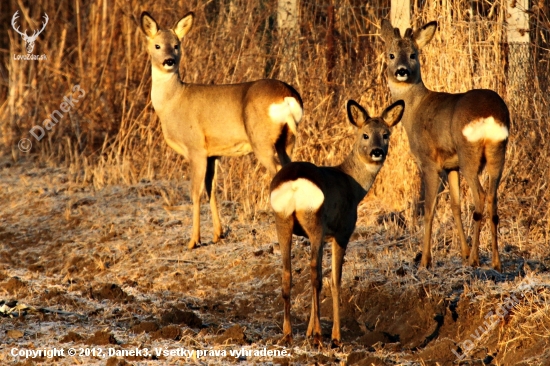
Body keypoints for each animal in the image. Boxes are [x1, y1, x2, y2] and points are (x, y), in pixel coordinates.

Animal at [140, 12, 304, 250]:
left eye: (177, 45)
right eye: (157, 45)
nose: (169, 61)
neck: (172, 103)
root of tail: (287, 96)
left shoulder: (196, 148)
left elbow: (195, 192)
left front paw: (193, 241)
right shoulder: (213, 154)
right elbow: (211, 190)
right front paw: (218, 234)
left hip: (261, 140)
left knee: (278, 174)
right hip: (287, 140)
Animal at [270, 98, 406, 344]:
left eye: (385, 134)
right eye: (365, 135)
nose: (377, 152)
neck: (353, 185)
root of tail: (294, 183)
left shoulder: (324, 235)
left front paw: (308, 330)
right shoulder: (342, 231)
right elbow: (335, 280)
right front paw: (335, 335)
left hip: (282, 220)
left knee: (288, 273)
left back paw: (288, 334)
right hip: (313, 218)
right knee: (315, 275)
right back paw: (319, 336)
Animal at [382, 20, 512, 272]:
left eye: (413, 55)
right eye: (391, 54)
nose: (401, 71)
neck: (414, 110)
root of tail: (491, 116)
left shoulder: (428, 161)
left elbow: (429, 209)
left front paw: (425, 260)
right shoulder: (451, 165)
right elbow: (455, 206)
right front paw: (462, 252)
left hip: (469, 152)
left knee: (480, 197)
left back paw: (475, 260)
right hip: (497, 152)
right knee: (493, 200)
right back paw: (495, 262)